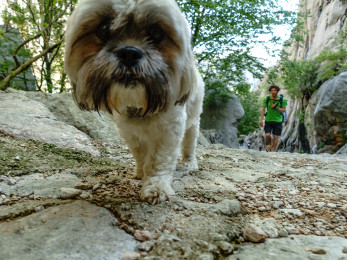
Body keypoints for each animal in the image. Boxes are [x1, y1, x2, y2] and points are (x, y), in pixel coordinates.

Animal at [65, 0, 204, 204]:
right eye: (104, 28)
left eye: (156, 33)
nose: (129, 53)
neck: (140, 107)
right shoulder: (130, 133)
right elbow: (141, 154)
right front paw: (140, 172)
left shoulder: (169, 131)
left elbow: (158, 160)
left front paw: (156, 187)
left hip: (193, 123)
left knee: (189, 143)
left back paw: (189, 162)